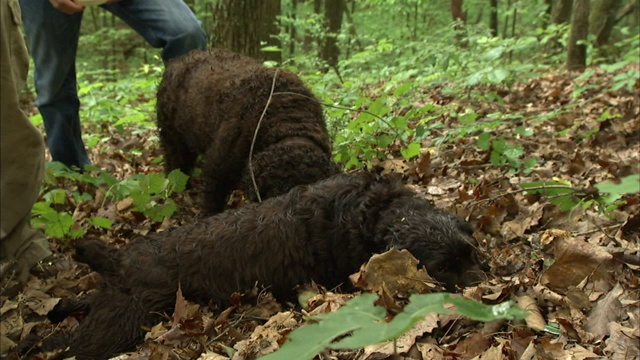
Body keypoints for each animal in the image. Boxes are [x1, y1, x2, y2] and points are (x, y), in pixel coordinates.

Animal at [42, 173, 482, 358]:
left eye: (472, 253)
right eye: (443, 268)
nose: (483, 289)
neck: (375, 215)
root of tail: (116, 258)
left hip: (109, 307)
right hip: (119, 325)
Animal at [156, 49, 340, 215]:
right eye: (277, 197)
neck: (288, 125)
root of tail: (177, 60)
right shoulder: (218, 168)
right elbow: (212, 200)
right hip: (172, 134)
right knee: (176, 163)